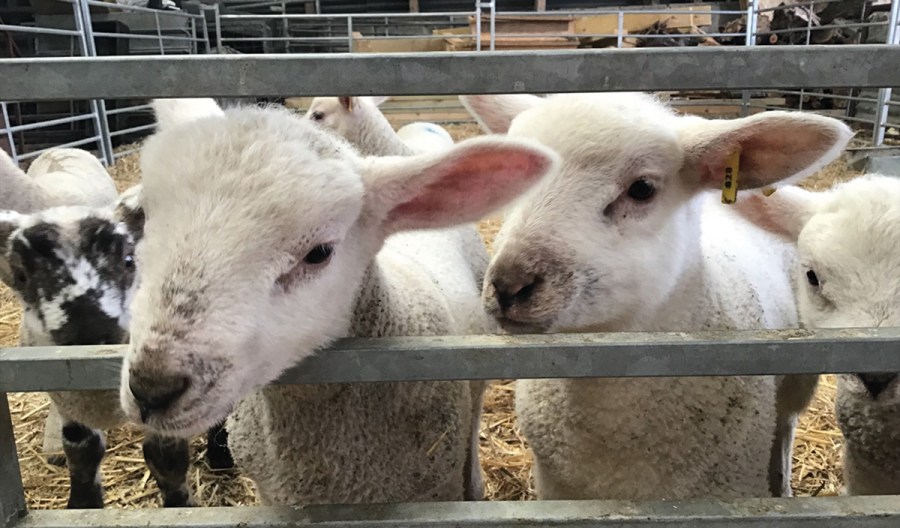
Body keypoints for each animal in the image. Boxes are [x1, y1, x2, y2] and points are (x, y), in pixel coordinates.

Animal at [0, 188, 234, 508]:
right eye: (21, 276)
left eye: (128, 261)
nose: (91, 335)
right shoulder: (69, 402)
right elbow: (81, 452)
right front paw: (82, 506)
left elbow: (166, 459)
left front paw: (178, 505)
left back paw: (220, 456)